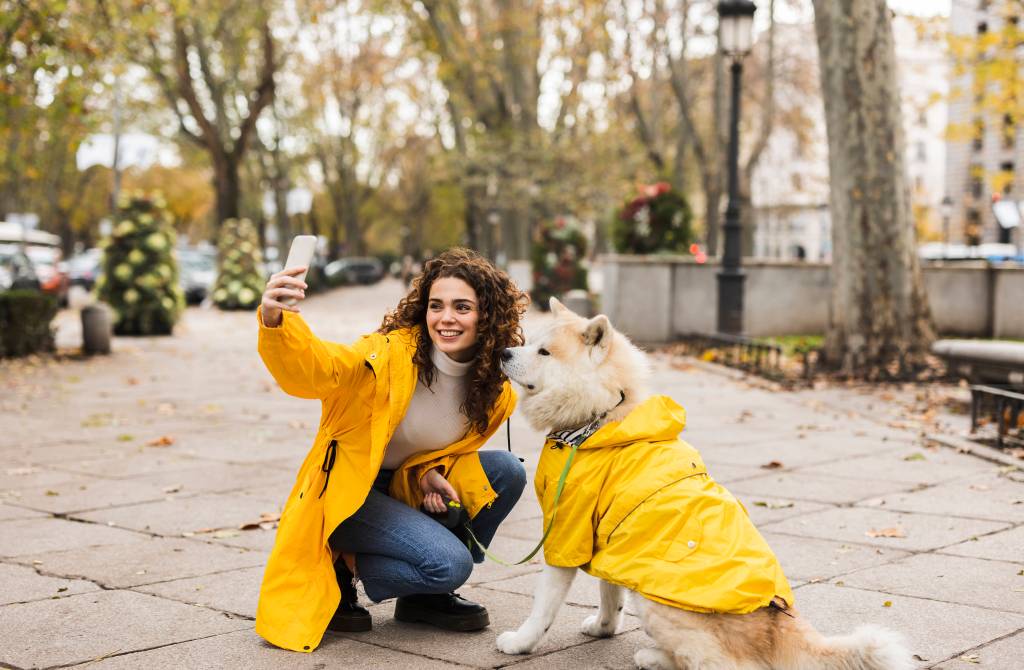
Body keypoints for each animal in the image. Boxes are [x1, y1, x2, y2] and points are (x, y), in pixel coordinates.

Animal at [497, 301, 913, 670]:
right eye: (529, 340)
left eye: (544, 351)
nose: (502, 351)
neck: (599, 418)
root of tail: (780, 621)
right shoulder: (608, 538)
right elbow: (609, 594)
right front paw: (603, 628)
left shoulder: (566, 532)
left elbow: (543, 606)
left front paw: (520, 642)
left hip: (656, 602)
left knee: (719, 663)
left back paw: (653, 657)